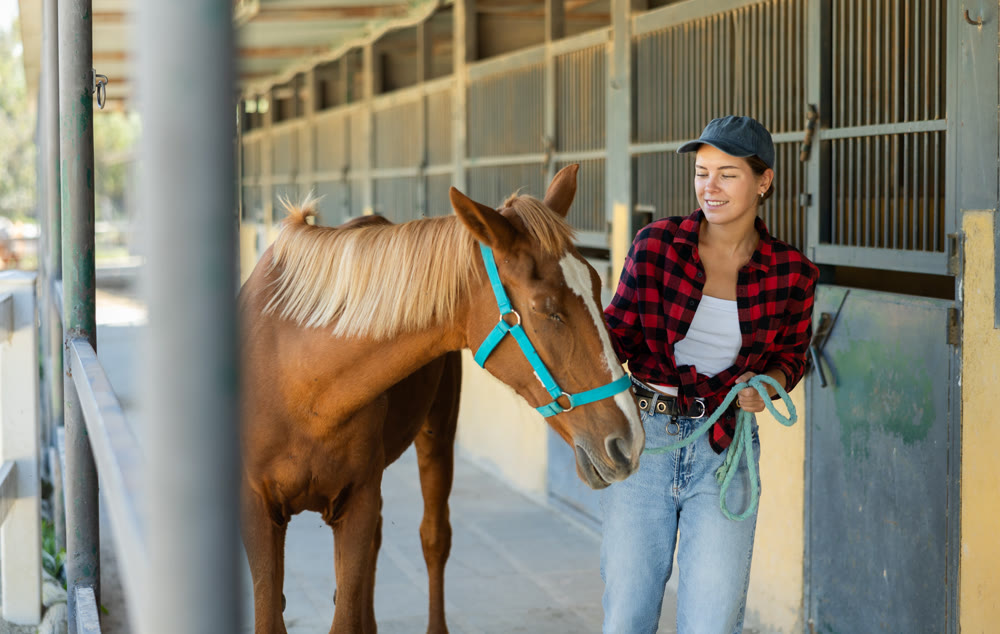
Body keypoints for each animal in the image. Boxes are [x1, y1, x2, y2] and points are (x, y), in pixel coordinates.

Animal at [238, 164, 644, 633]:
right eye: (548, 309)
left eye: (597, 286)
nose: (629, 441)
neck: (299, 381)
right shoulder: (259, 514)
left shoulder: (356, 505)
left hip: (436, 437)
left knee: (433, 537)